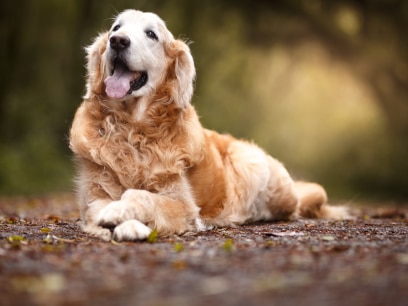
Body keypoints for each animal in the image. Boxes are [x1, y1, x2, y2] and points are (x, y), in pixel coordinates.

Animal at [69, 9, 348, 241]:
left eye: (151, 34)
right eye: (116, 28)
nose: (118, 41)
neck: (132, 128)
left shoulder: (183, 205)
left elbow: (139, 195)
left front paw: (123, 215)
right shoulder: (93, 197)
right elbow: (101, 207)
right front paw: (122, 221)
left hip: (252, 164)